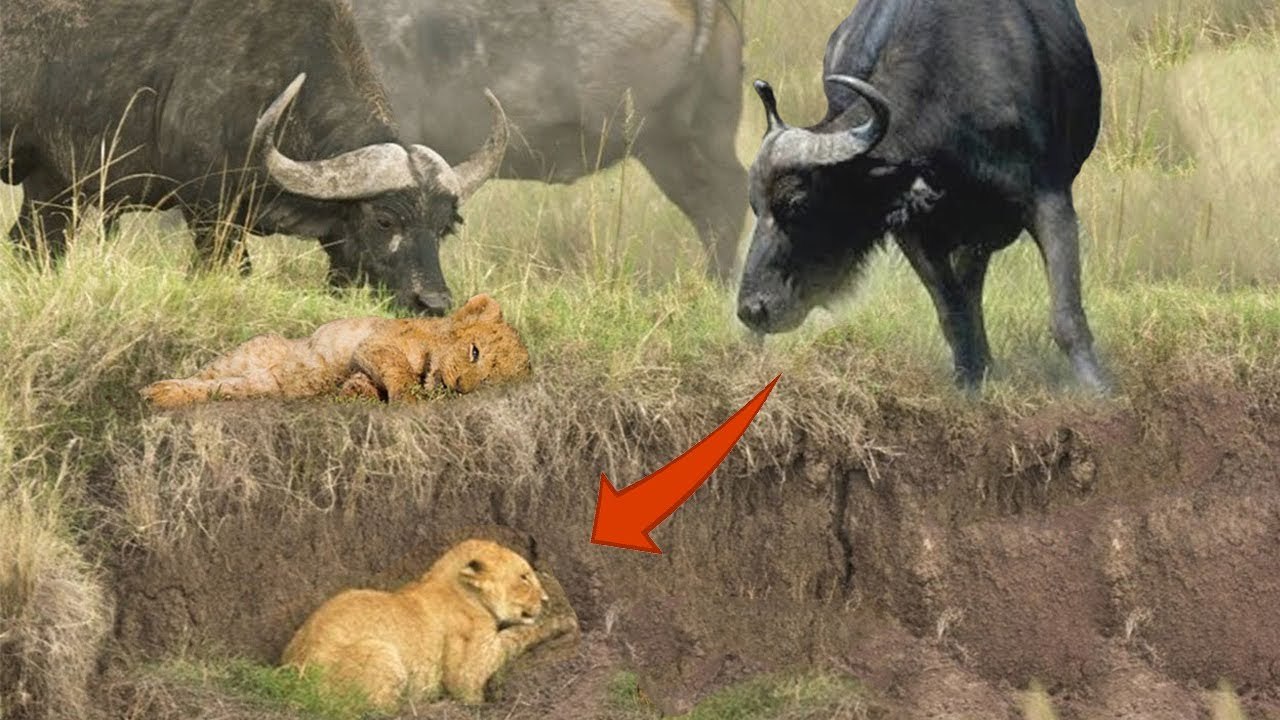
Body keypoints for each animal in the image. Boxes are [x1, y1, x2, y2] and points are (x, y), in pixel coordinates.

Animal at [141, 294, 530, 408]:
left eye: (489, 383)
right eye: (474, 352)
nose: (463, 388)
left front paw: (356, 391)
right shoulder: (376, 342)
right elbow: (396, 367)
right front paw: (409, 397)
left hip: (275, 380)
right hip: (254, 353)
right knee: (209, 377)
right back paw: (155, 391)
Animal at [280, 539, 578, 708]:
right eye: (524, 577)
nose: (545, 598)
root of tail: (294, 683)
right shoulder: (467, 672)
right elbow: (517, 635)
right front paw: (562, 621)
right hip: (381, 653)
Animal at [737, 0, 1108, 391]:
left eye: (796, 204)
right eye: (755, 207)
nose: (752, 310)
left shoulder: (1049, 199)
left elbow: (1066, 315)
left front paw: (1098, 390)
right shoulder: (913, 229)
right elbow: (952, 313)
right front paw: (968, 383)